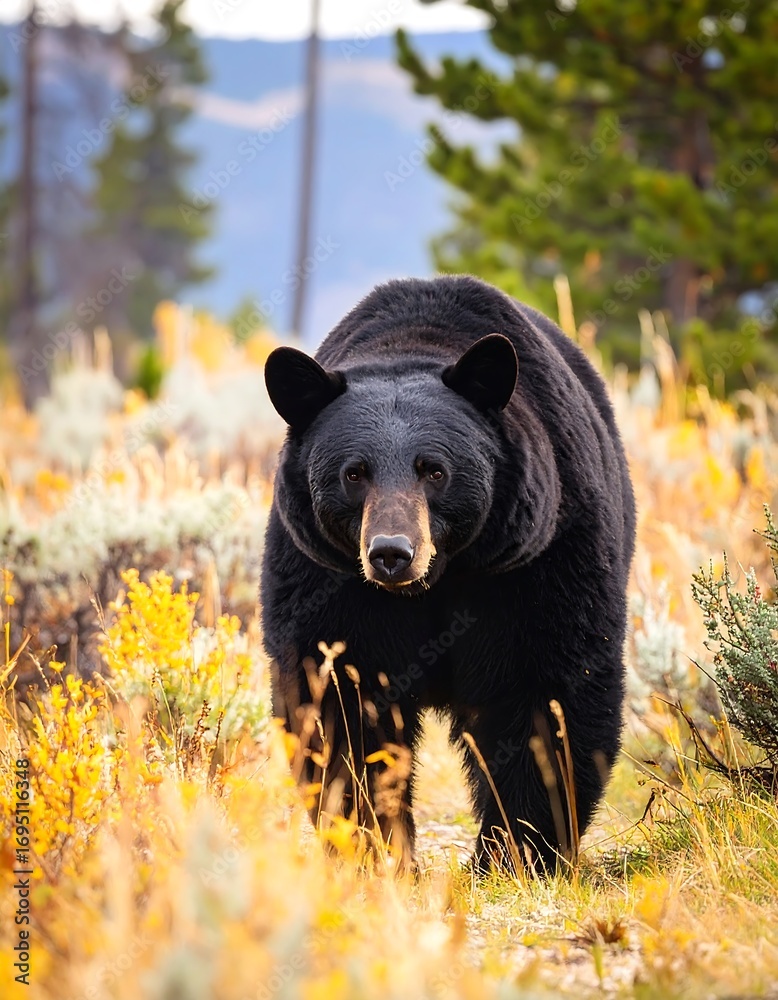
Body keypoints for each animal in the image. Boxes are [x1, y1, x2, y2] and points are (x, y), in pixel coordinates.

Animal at [261, 274, 635, 874]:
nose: (392, 553)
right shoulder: (326, 579)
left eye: (434, 470)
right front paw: (374, 847)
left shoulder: (538, 561)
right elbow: (338, 701)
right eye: (354, 473)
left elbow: (546, 689)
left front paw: (519, 853)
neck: (432, 585)